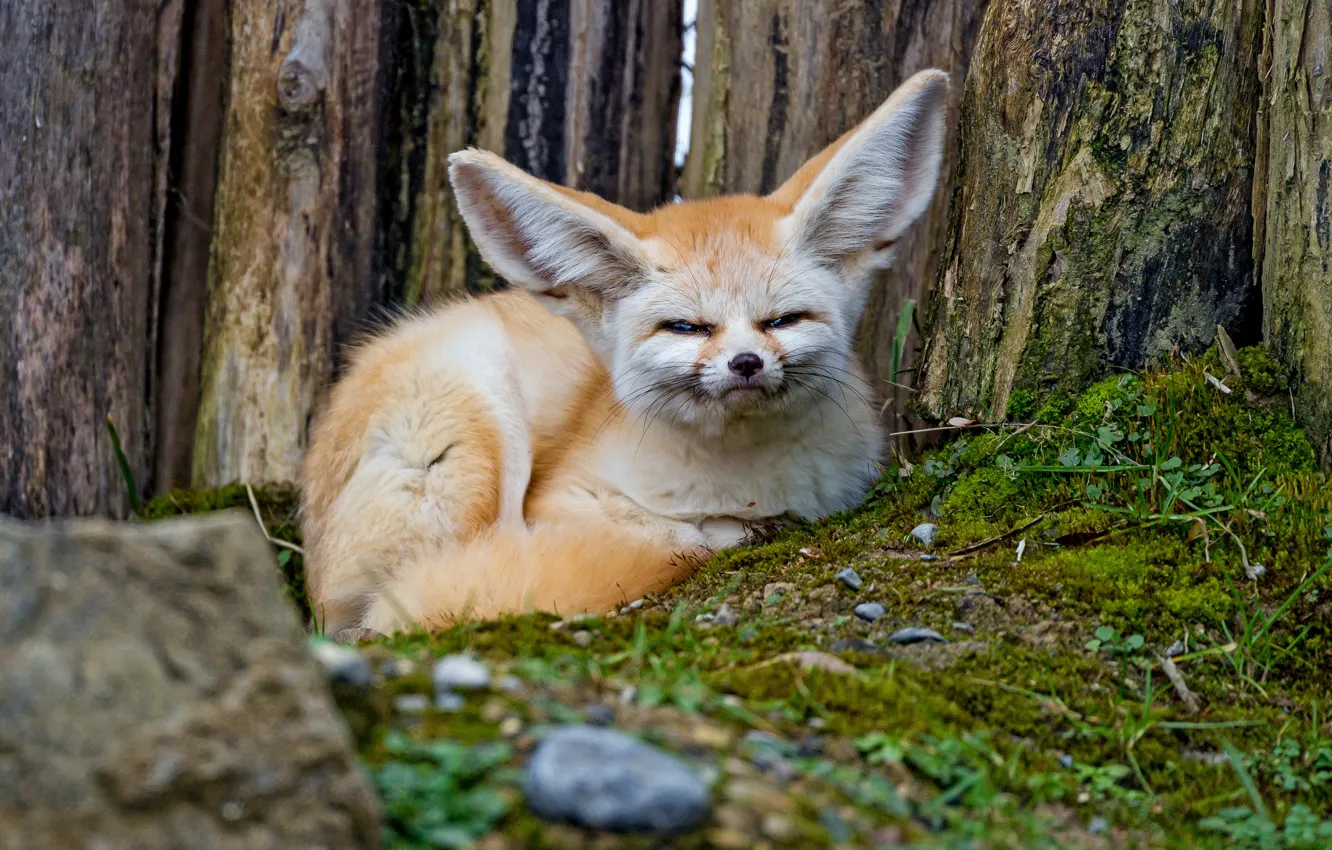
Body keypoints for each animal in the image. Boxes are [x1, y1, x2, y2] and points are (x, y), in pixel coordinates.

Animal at [300, 69, 951, 635]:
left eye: (782, 320)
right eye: (687, 328)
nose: (745, 363)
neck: (744, 480)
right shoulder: (559, 499)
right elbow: (666, 537)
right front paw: (726, 532)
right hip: (482, 424)